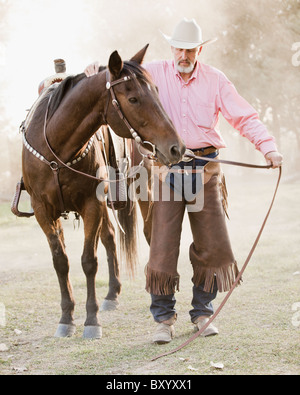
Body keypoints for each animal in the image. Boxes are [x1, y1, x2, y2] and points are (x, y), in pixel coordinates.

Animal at [21, 44, 185, 338]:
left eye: (156, 91)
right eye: (133, 99)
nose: (175, 147)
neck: (56, 148)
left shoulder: (91, 205)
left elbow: (89, 261)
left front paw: (91, 320)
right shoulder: (43, 210)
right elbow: (61, 261)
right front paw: (66, 318)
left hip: (142, 194)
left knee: (148, 234)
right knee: (109, 237)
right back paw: (111, 294)